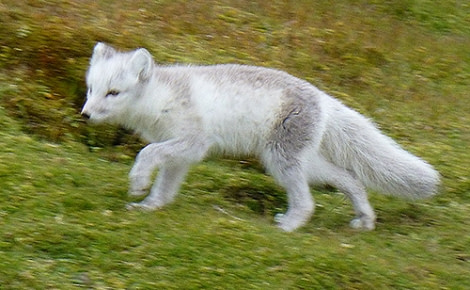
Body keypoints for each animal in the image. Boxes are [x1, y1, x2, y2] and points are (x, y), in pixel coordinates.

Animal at [81, 43, 440, 232]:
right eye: (91, 89)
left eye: (113, 93)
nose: (85, 114)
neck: (159, 98)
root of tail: (323, 98)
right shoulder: (181, 154)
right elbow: (165, 185)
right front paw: (151, 205)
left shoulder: (193, 143)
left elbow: (146, 154)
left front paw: (138, 182)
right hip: (303, 162)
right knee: (350, 178)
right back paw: (364, 218)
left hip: (281, 160)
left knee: (308, 201)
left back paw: (290, 224)